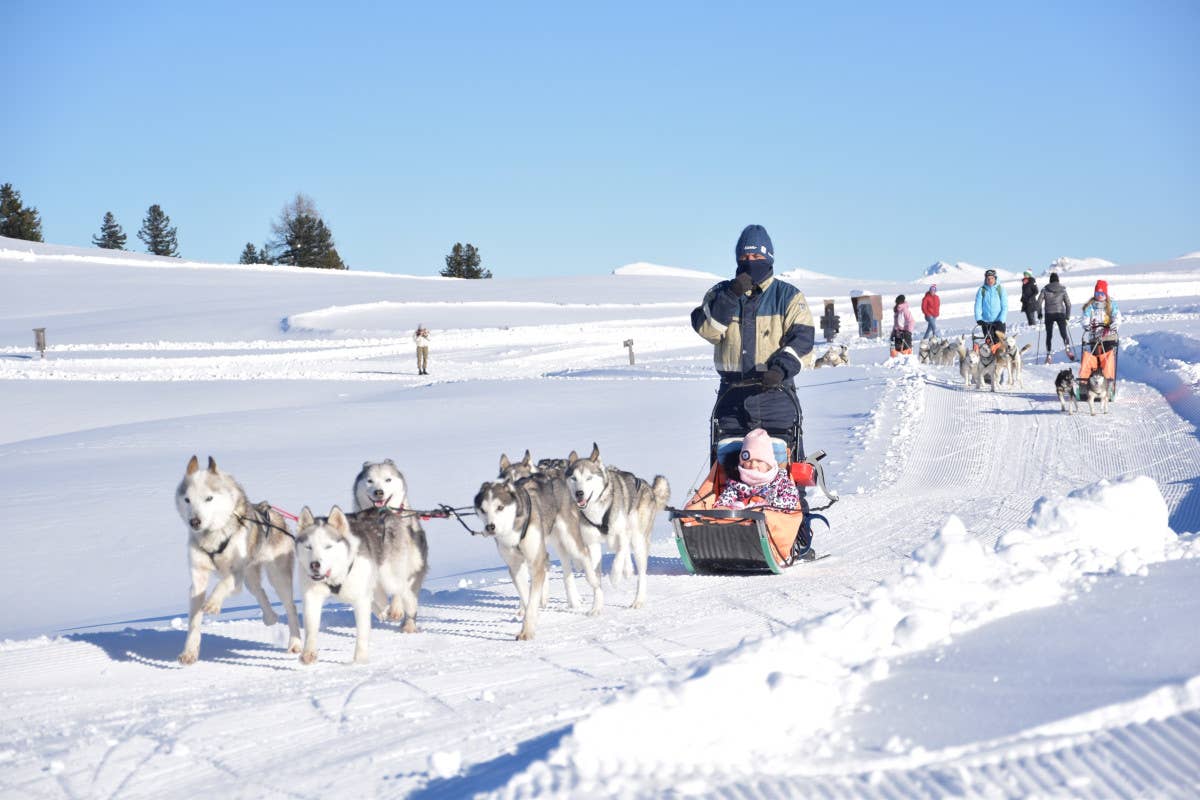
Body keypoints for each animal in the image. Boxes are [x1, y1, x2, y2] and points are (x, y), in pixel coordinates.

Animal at [175, 455, 302, 662]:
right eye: (187, 499)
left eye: (209, 498)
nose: (194, 522)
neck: (213, 537)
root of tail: (275, 515)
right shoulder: (198, 578)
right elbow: (194, 619)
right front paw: (189, 652)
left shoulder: (235, 574)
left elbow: (223, 583)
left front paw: (212, 603)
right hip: (251, 576)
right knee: (260, 592)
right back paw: (270, 617)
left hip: (278, 577)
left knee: (291, 608)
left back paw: (295, 643)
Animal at [295, 503, 432, 666]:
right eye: (308, 547)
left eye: (328, 546)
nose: (314, 565)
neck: (335, 576)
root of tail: (385, 512)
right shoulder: (312, 596)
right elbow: (311, 627)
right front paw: (308, 653)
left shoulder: (360, 600)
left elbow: (362, 632)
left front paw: (360, 660)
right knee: (380, 597)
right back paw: (383, 610)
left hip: (389, 577)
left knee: (406, 593)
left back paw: (408, 618)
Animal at [559, 443, 667, 606]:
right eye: (573, 478)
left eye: (589, 478)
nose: (579, 493)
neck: (598, 511)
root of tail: (649, 488)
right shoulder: (592, 543)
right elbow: (593, 573)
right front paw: (596, 606)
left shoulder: (622, 533)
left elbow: (619, 556)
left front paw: (615, 577)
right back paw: (628, 570)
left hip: (637, 539)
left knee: (640, 572)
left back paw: (638, 599)